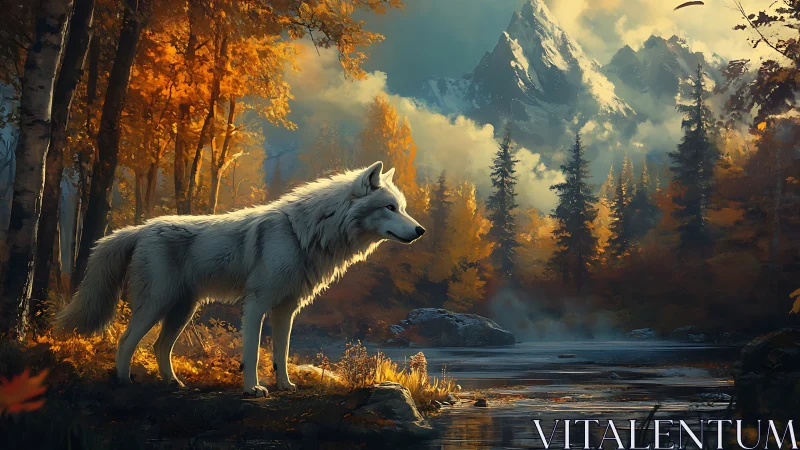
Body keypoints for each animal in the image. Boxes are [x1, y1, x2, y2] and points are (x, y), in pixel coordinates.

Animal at [56, 161, 424, 396]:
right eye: (390, 208)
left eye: (402, 207)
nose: (420, 231)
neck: (303, 235)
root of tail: (138, 229)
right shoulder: (256, 304)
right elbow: (252, 352)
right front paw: (253, 389)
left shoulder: (286, 309)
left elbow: (281, 353)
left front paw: (285, 386)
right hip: (156, 305)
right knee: (125, 340)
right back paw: (123, 382)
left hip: (182, 311)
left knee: (160, 346)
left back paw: (173, 383)